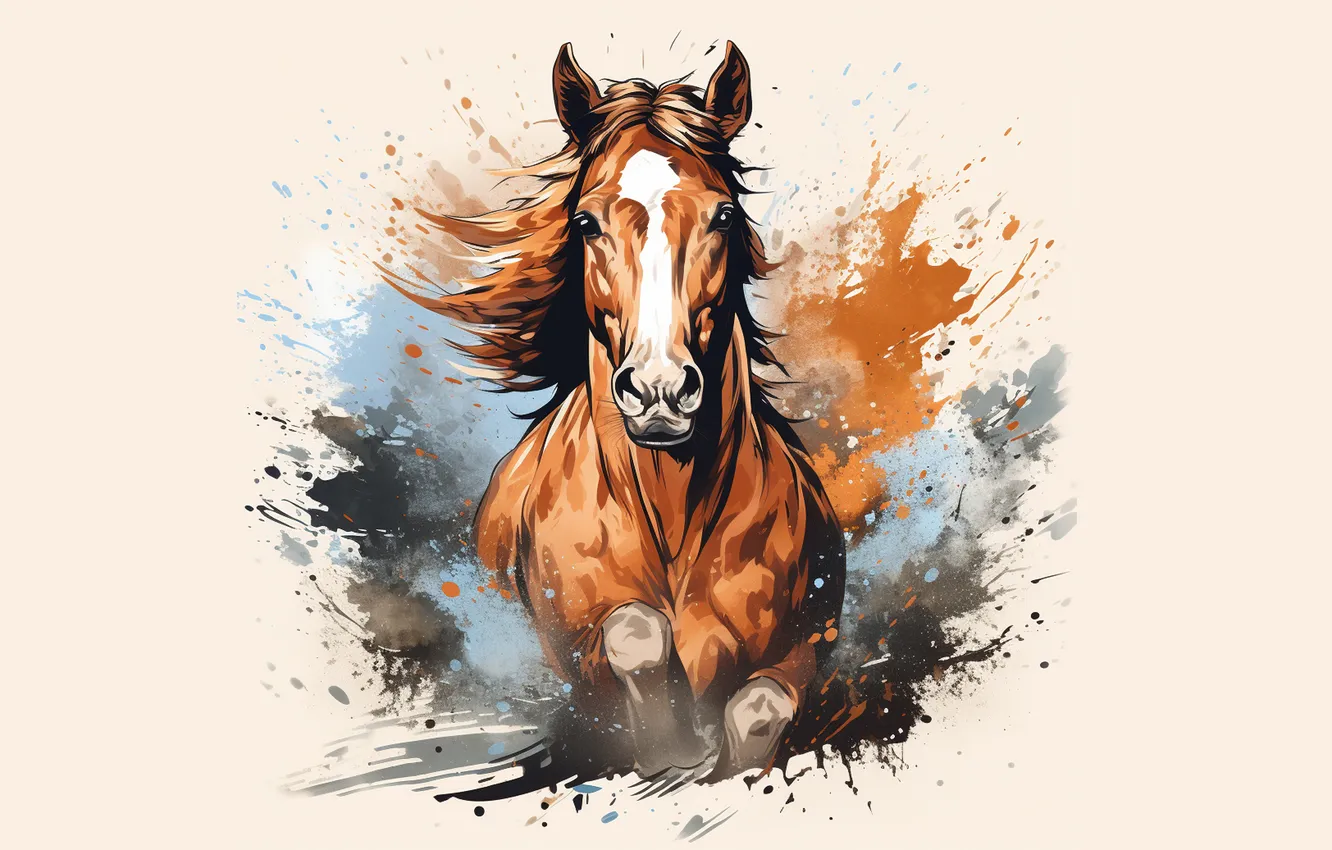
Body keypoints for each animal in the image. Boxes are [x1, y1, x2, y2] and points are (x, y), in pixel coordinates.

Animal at [384, 42, 846, 780]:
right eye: (585, 222)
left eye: (723, 217)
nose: (659, 390)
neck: (672, 503)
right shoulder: (582, 661)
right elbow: (637, 635)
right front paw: (672, 752)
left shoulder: (812, 644)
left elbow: (760, 706)